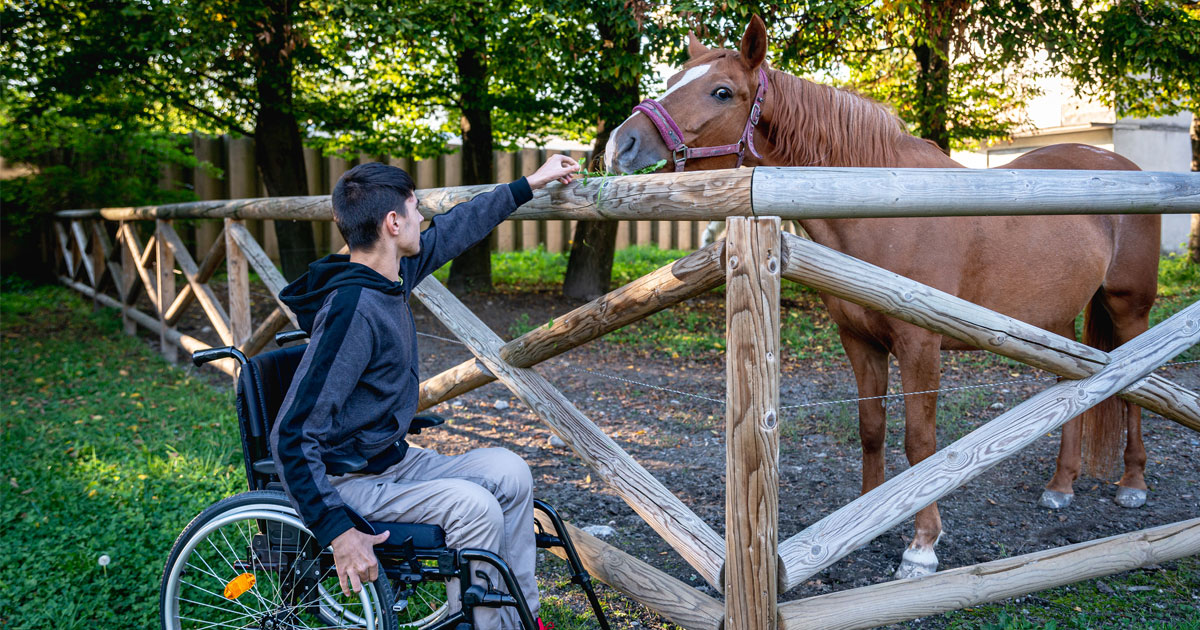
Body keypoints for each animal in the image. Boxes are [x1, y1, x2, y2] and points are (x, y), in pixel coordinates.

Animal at [614, 14, 1156, 578]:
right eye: (672, 78)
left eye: (722, 91)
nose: (621, 143)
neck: (882, 202)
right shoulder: (859, 341)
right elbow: (871, 428)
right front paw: (864, 517)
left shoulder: (921, 347)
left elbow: (920, 443)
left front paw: (922, 545)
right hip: (1056, 326)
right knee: (1073, 387)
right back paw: (1061, 484)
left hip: (1130, 309)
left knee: (1136, 387)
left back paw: (1133, 484)